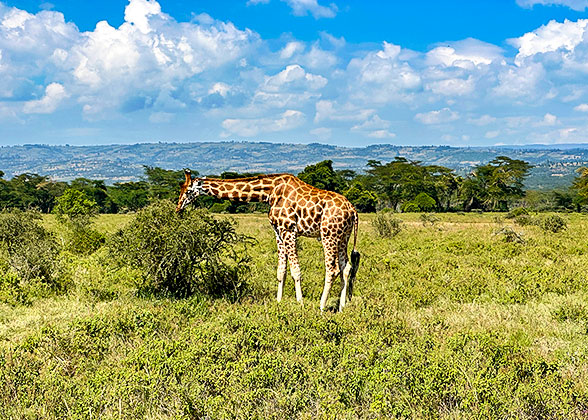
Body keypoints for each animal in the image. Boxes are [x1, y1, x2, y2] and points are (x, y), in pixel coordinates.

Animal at [175, 169, 360, 310]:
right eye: (181, 189)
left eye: (188, 191)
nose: (178, 209)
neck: (268, 192)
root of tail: (353, 210)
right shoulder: (278, 231)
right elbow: (281, 270)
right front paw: (278, 302)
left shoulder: (289, 229)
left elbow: (295, 270)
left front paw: (300, 303)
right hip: (343, 236)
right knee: (346, 268)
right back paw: (342, 307)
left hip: (328, 234)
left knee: (333, 269)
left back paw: (321, 307)